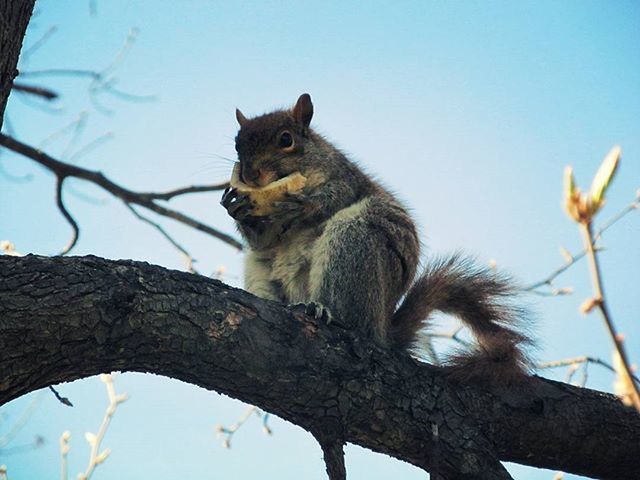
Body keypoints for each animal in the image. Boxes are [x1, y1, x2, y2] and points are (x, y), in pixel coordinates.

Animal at [220, 94, 528, 382]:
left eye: (286, 139)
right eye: (237, 146)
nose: (250, 175)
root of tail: (381, 329)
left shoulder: (346, 179)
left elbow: (333, 197)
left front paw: (303, 204)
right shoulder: (268, 236)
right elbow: (263, 241)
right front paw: (237, 209)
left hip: (352, 242)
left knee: (349, 317)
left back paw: (319, 308)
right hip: (262, 269)